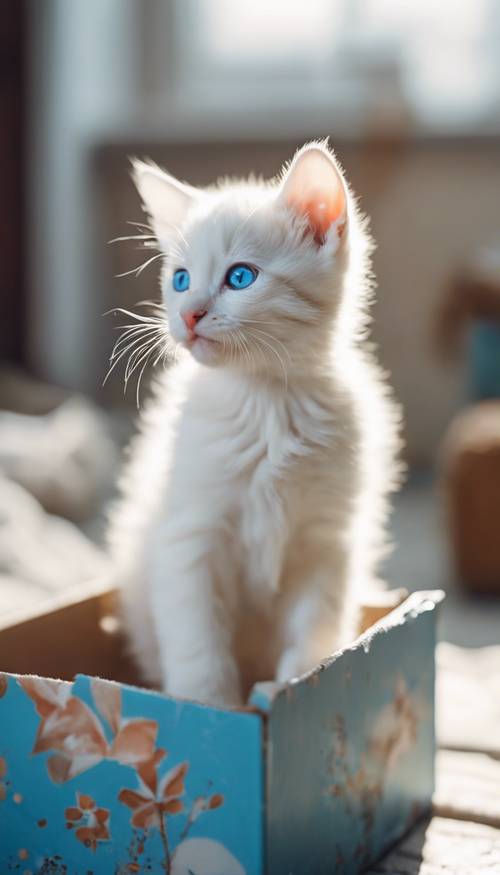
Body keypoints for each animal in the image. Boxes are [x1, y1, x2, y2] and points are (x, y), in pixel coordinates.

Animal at [107, 142, 400, 704]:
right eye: (180, 280)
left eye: (240, 276)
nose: (190, 314)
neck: (266, 401)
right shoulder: (190, 534)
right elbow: (197, 637)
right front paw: (209, 706)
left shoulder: (326, 541)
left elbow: (315, 625)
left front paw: (295, 683)